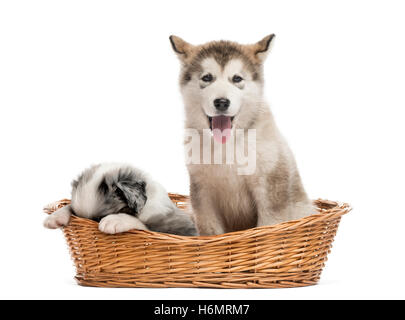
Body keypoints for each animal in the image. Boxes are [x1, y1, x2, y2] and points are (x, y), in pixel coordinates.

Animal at [169, 34, 314, 235]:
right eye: (207, 77)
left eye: (237, 78)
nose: (222, 102)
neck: (227, 145)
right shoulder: (202, 195)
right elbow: (211, 233)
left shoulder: (269, 190)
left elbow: (268, 227)